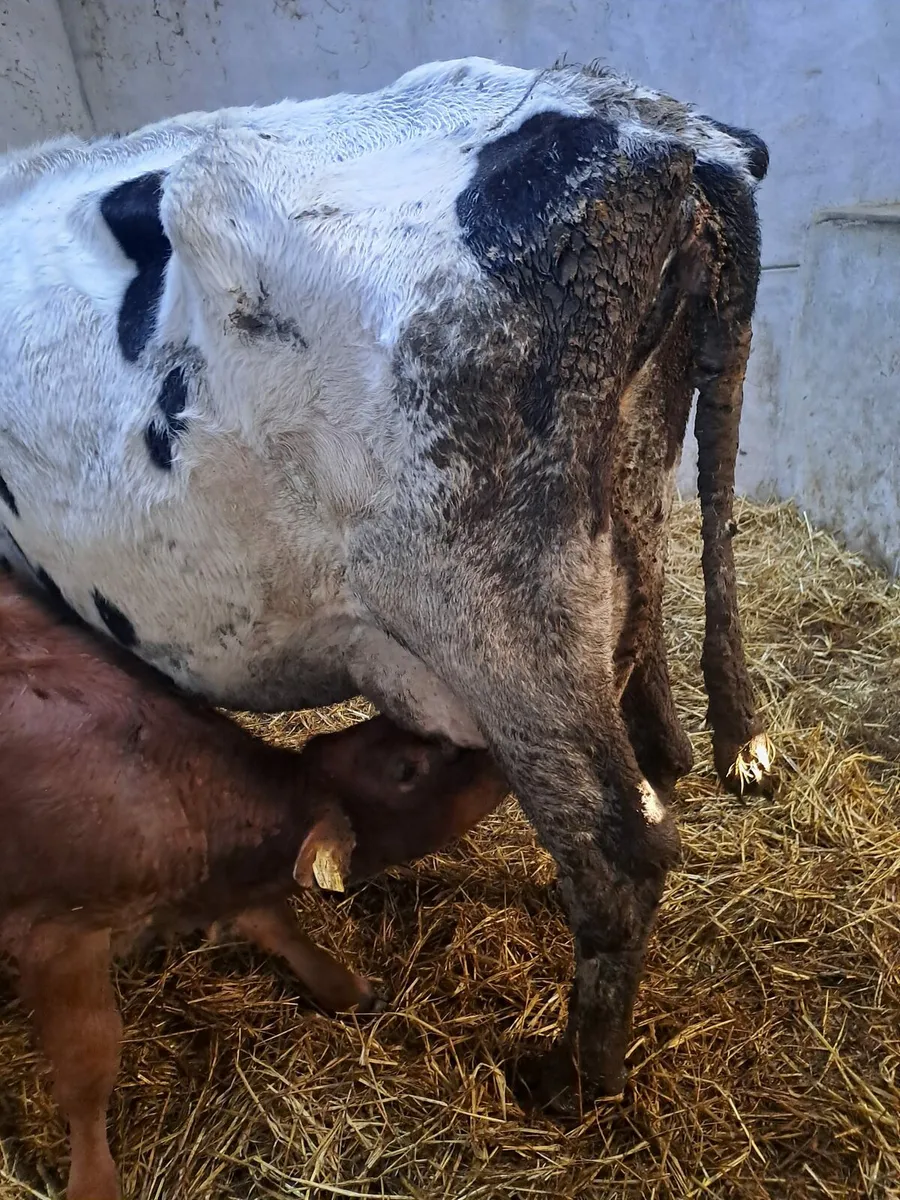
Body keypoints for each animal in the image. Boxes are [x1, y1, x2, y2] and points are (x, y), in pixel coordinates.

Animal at [0, 56, 774, 1110]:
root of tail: (663, 134)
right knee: (658, 749)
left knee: (618, 852)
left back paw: (575, 1081)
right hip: (627, 531)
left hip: (493, 609)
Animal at [0, 570, 508, 1200]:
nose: (494, 742)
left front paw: (345, 988)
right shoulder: (57, 937)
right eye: (407, 768)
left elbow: (276, 924)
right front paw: (94, 1179)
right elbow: (88, 1062)